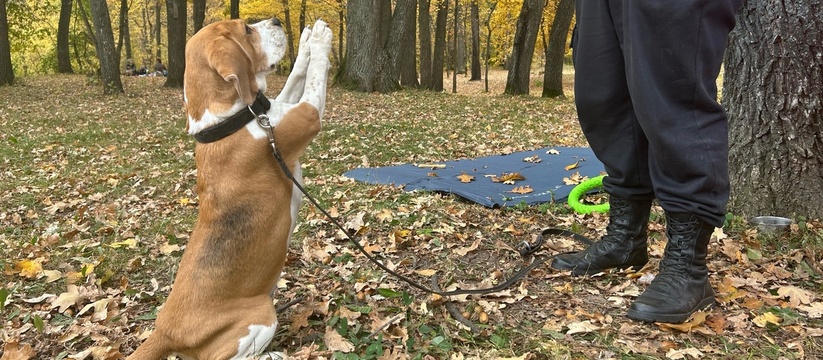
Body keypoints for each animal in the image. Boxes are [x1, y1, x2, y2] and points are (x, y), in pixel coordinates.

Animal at [128, 17, 332, 360]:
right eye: (246, 30)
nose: (277, 20)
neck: (225, 121)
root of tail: (164, 332)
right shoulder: (307, 115)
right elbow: (315, 75)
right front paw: (319, 40)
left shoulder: (273, 108)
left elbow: (296, 75)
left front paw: (305, 42)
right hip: (261, 313)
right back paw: (273, 355)